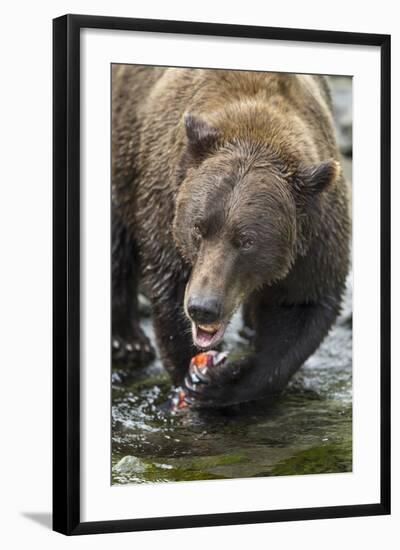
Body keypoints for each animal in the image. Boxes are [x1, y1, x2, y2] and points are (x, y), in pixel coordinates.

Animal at [110, 66, 350, 410]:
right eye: (198, 228)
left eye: (247, 240)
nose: (203, 307)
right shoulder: (166, 204)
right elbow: (170, 292)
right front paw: (190, 375)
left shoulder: (316, 236)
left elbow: (301, 306)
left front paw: (218, 384)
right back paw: (128, 341)